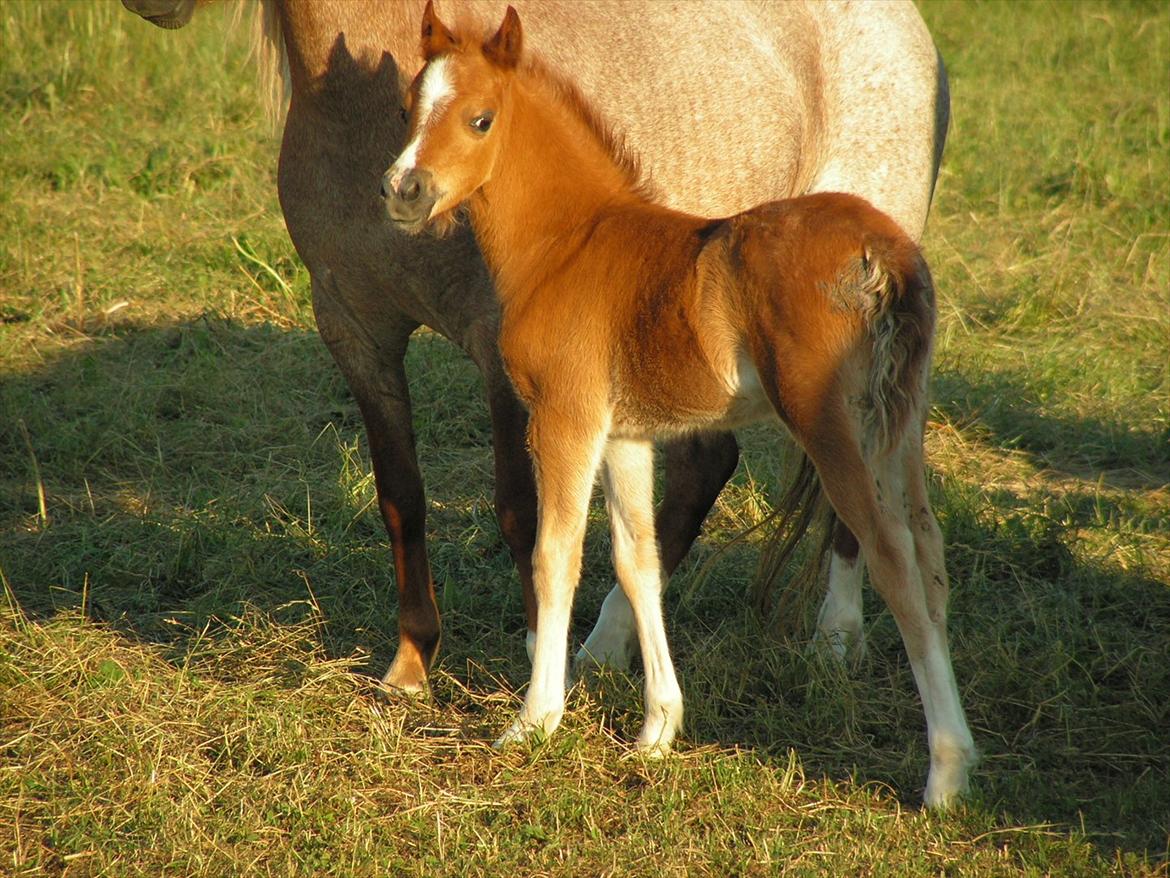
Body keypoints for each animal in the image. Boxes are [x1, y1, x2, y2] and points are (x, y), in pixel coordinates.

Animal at [121, 0, 950, 702]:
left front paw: (531, 665)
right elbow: (401, 497)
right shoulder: (356, 333)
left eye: (481, 118)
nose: (150, 7)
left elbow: (524, 513)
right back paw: (609, 649)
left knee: (853, 498)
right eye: (408, 109)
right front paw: (411, 664)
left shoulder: (503, 355)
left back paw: (833, 639)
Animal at [383, 3, 978, 810]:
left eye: (480, 119)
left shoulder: (565, 420)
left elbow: (554, 556)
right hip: (897, 426)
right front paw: (659, 728)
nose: (402, 190)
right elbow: (639, 559)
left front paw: (534, 721)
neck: (569, 244)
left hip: (832, 428)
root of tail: (884, 253)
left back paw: (945, 774)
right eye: (409, 109)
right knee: (930, 553)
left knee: (893, 560)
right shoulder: (626, 435)